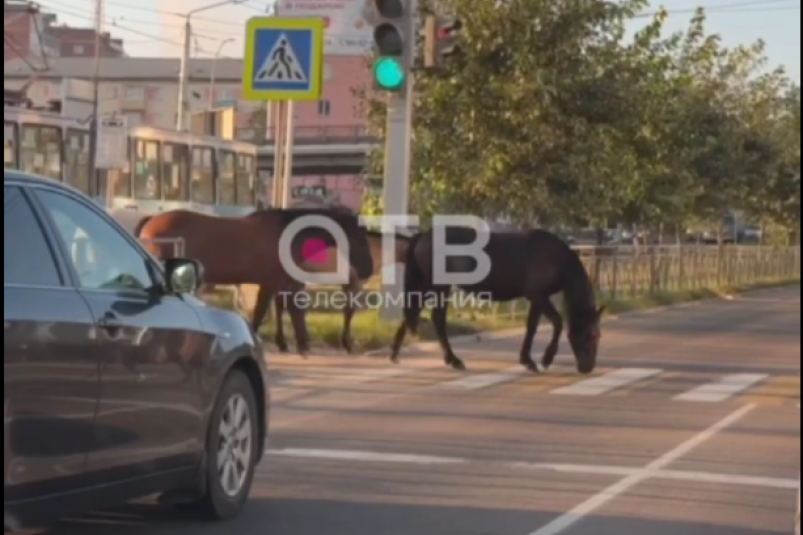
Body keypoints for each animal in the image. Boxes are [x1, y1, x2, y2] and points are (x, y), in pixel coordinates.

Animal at [137, 208, 376, 356]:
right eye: (360, 240)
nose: (369, 269)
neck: (286, 235)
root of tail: (150, 221)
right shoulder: (272, 283)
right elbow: (266, 312)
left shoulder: (279, 283)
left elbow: (287, 310)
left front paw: (295, 343)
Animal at [390, 226, 604, 372]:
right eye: (590, 334)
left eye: (597, 335)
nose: (587, 368)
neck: (555, 257)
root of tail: (424, 235)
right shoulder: (538, 295)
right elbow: (557, 322)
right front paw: (546, 359)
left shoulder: (536, 298)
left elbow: (532, 327)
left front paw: (527, 360)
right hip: (437, 286)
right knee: (435, 318)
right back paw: (453, 359)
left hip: (431, 286)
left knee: (414, 312)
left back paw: (396, 354)